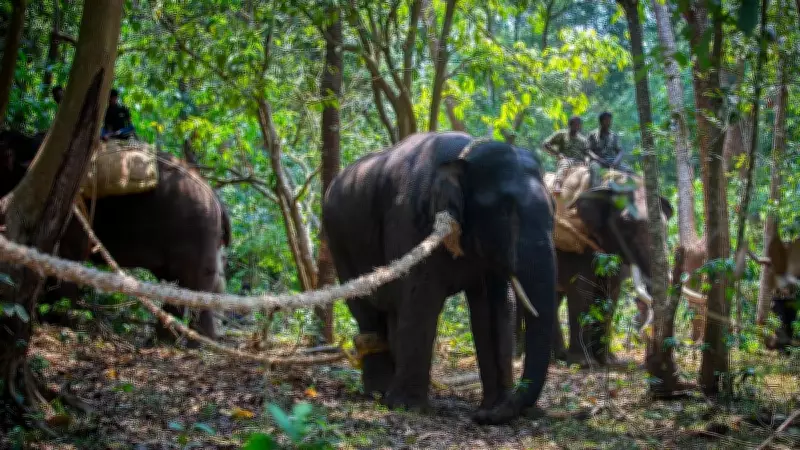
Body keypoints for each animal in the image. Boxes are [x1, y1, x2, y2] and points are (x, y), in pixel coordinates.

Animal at [0, 129, 230, 343]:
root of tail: (215, 198)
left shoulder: (75, 207)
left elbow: (70, 255)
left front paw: (59, 322)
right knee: (188, 285)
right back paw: (165, 341)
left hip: (195, 232)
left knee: (194, 285)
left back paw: (188, 344)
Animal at [322, 131, 557, 425]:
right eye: (506, 210)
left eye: (555, 210)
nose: (481, 417)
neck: (464, 155)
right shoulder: (412, 223)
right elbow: (422, 298)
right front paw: (408, 408)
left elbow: (495, 310)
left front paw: (494, 407)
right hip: (339, 243)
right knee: (367, 309)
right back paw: (379, 393)